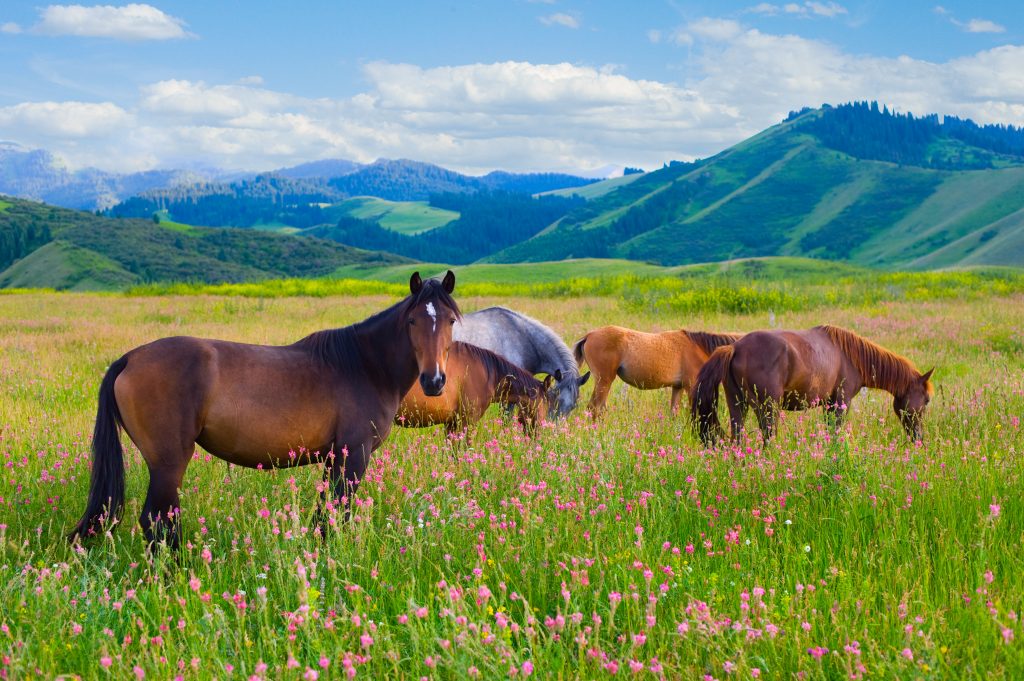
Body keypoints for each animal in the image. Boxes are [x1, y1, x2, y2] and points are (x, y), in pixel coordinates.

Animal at [74, 270, 466, 548]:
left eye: (450, 321)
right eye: (413, 321)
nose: (434, 381)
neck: (364, 365)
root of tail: (130, 358)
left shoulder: (333, 456)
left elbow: (324, 514)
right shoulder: (354, 453)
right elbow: (339, 511)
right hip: (168, 463)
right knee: (157, 521)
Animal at [569, 325, 745, 417]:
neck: (698, 347)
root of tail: (589, 335)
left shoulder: (678, 387)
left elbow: (674, 412)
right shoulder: (691, 386)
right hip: (604, 380)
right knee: (594, 407)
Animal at [688, 325, 937, 446]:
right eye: (926, 400)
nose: (919, 439)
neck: (851, 355)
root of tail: (735, 347)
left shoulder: (828, 404)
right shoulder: (841, 401)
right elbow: (836, 431)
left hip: (737, 405)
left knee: (738, 437)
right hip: (766, 406)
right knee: (768, 436)